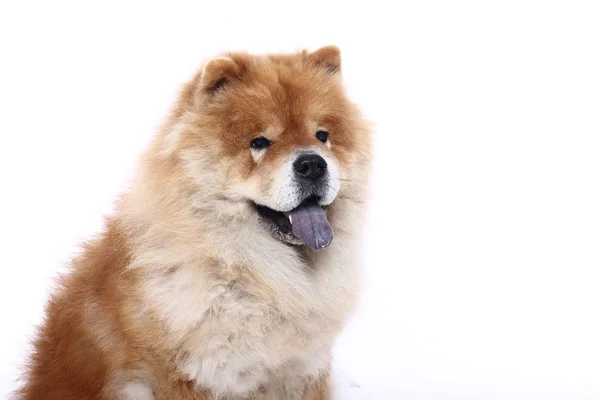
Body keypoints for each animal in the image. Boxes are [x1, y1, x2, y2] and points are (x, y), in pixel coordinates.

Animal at [16, 45, 372, 398]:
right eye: (259, 142)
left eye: (322, 136)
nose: (312, 164)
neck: (255, 275)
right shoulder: (193, 376)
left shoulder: (304, 370)